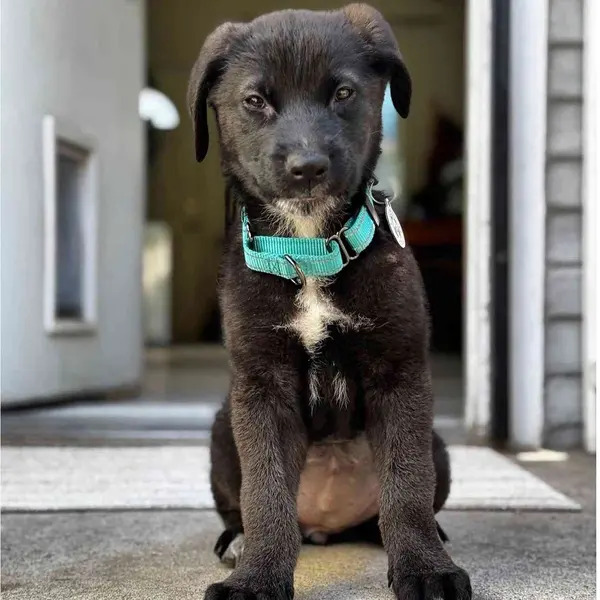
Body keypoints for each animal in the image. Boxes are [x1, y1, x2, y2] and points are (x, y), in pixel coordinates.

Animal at [190, 5, 472, 600]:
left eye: (343, 93)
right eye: (255, 100)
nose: (308, 166)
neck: (308, 250)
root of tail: (325, 524)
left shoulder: (400, 373)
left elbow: (407, 487)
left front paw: (425, 569)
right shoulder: (262, 386)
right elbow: (265, 494)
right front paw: (257, 577)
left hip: (439, 443)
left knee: (397, 504)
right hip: (223, 426)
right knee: (240, 505)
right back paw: (236, 541)